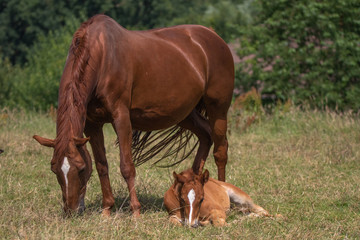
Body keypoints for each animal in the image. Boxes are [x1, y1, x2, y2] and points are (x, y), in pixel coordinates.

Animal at [32, 15, 235, 218]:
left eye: (81, 168)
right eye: (54, 168)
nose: (71, 211)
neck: (102, 56)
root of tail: (213, 36)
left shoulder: (121, 118)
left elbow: (127, 166)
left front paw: (135, 211)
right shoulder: (93, 124)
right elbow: (101, 165)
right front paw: (106, 209)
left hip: (218, 109)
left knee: (220, 151)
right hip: (185, 114)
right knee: (205, 136)